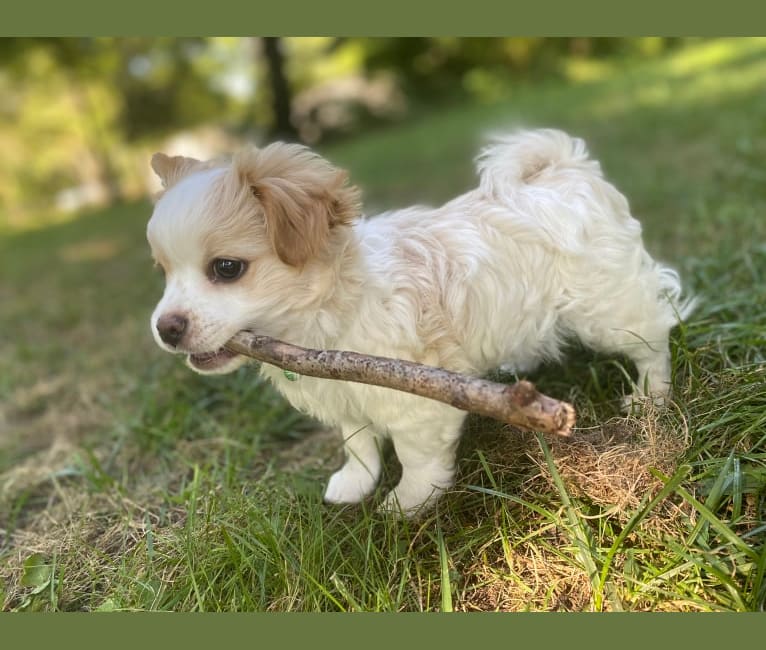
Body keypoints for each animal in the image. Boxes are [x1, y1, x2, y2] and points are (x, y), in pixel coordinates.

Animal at [147, 129, 692, 516]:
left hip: (606, 307)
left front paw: (409, 502)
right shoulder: (345, 392)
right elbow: (358, 442)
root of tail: (564, 168)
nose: (165, 328)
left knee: (653, 334)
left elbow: (416, 457)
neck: (325, 319)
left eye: (227, 268)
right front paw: (355, 483)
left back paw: (651, 396)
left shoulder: (415, 400)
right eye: (163, 272)